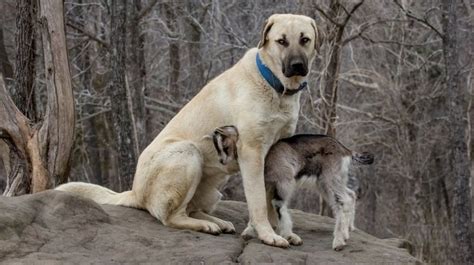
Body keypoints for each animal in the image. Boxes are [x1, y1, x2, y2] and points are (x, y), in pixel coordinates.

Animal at [56, 13, 322, 245]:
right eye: (281, 41)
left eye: (305, 39)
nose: (297, 65)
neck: (275, 85)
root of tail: (134, 191)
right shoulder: (252, 153)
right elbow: (258, 200)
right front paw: (268, 235)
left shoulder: (274, 153)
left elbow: (270, 199)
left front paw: (281, 232)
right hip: (188, 152)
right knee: (170, 216)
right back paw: (206, 225)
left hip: (214, 185)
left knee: (191, 208)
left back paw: (217, 222)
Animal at [212, 125, 374, 249]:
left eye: (224, 145)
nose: (221, 161)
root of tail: (346, 150)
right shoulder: (268, 184)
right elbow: (262, 203)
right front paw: (250, 230)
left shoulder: (284, 181)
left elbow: (278, 205)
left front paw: (289, 236)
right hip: (331, 181)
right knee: (350, 195)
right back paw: (348, 231)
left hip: (329, 178)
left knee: (343, 201)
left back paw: (339, 242)